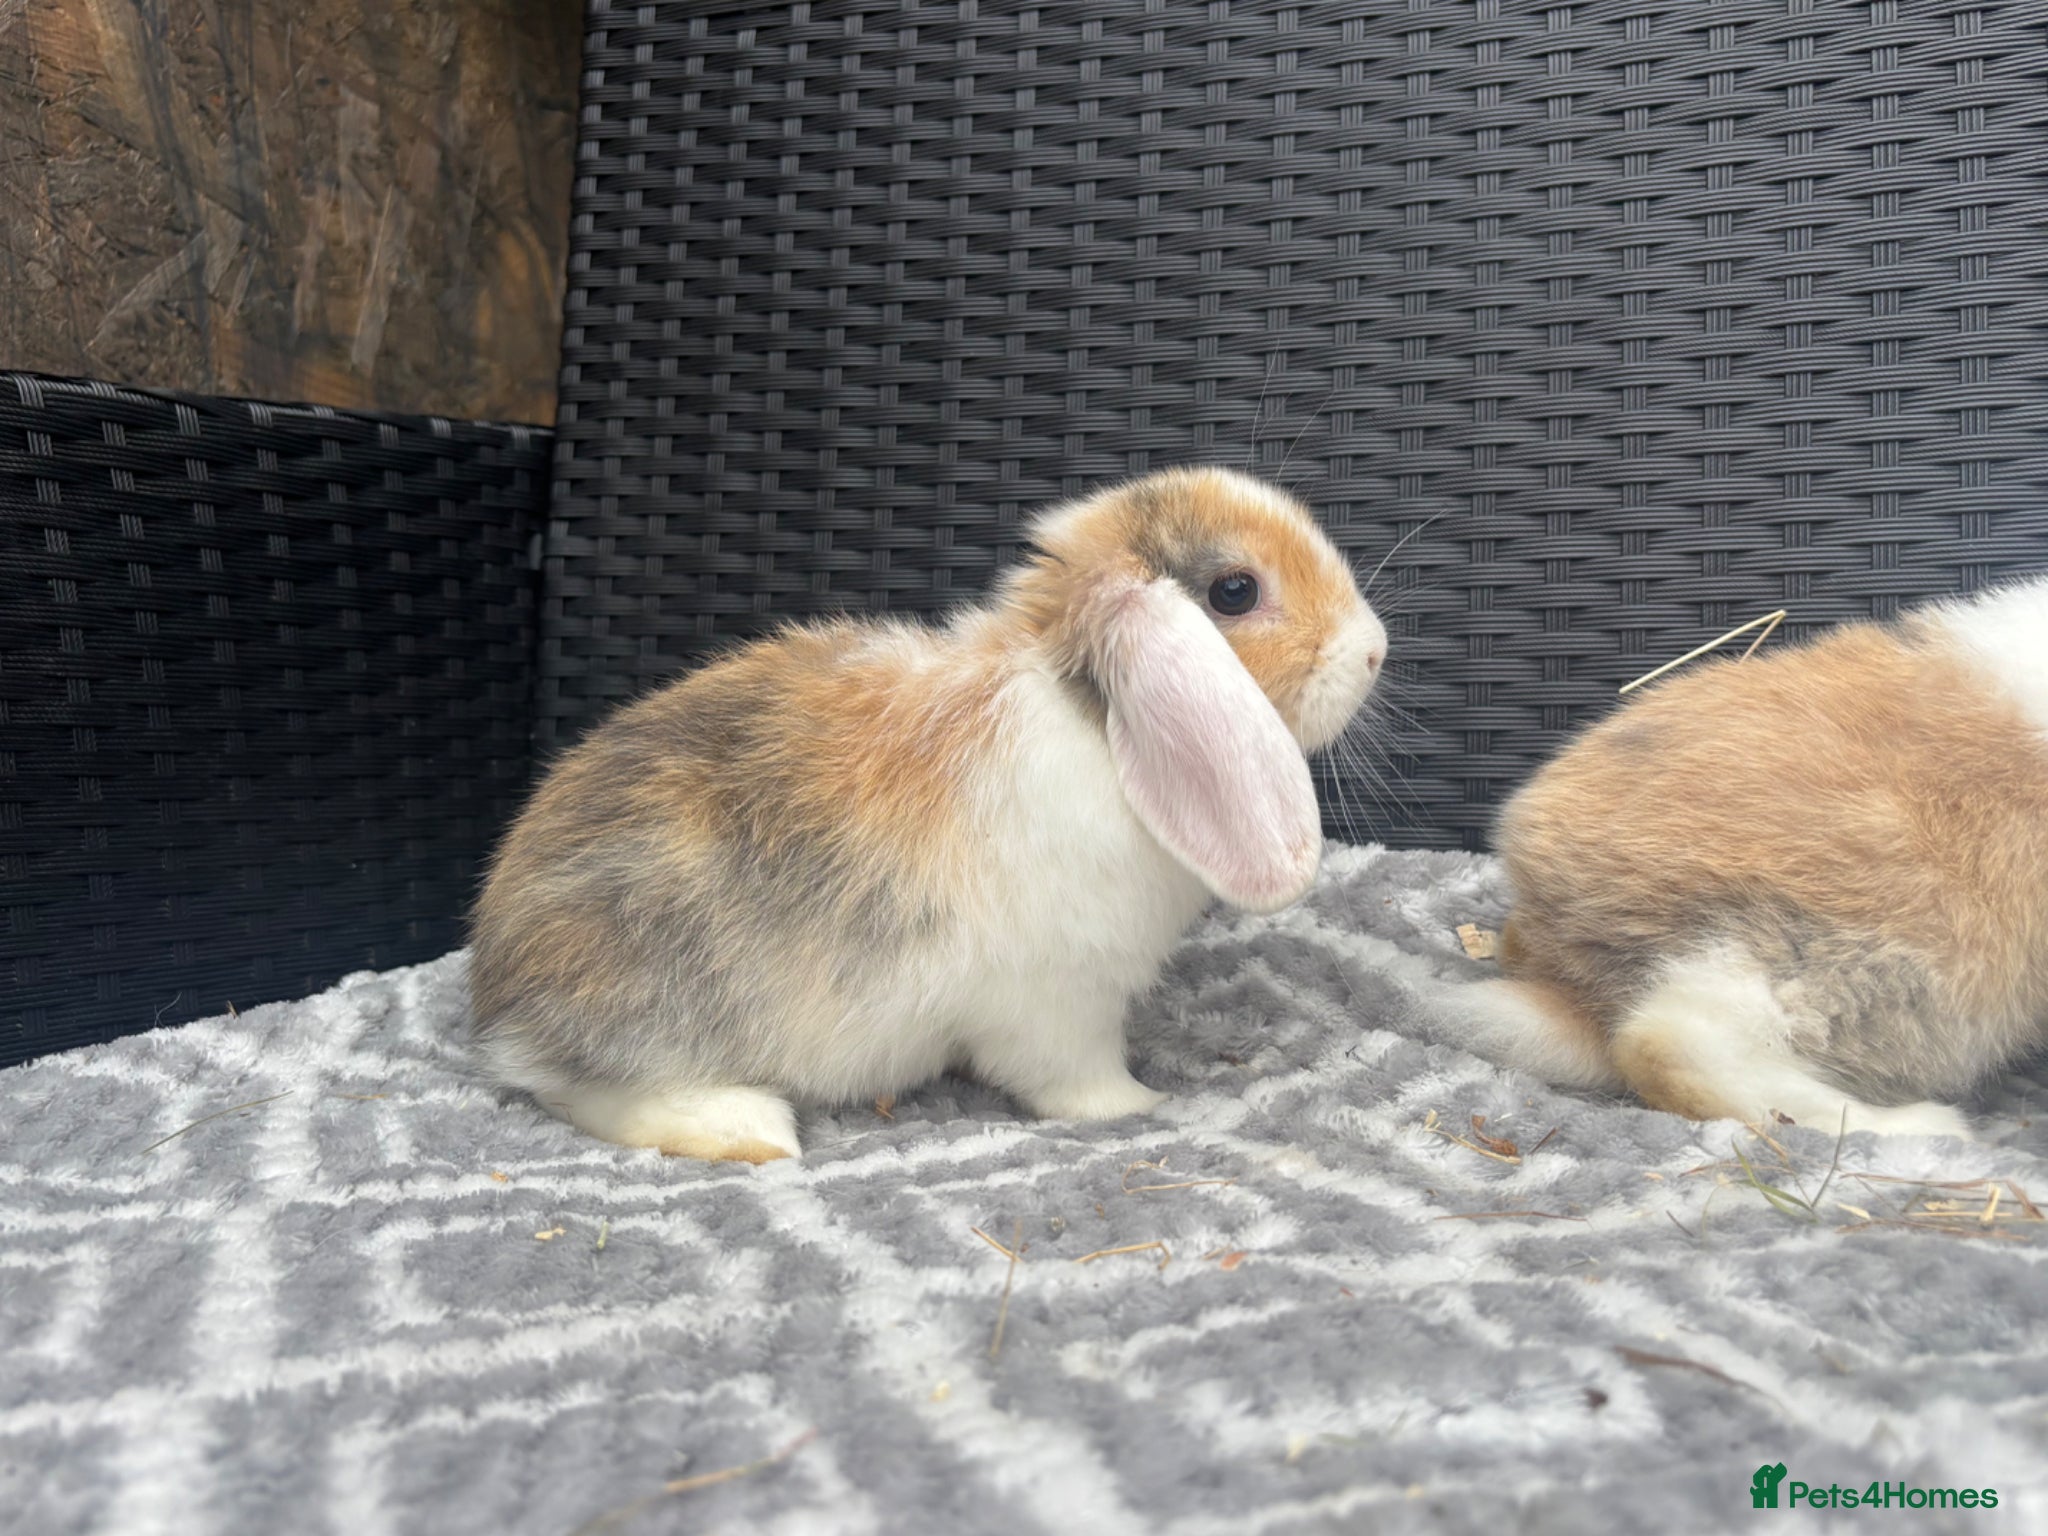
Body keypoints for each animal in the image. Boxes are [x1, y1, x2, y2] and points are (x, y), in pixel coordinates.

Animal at [468, 467, 1388, 1162]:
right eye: (1235, 591)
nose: (1375, 649)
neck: (1091, 714)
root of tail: (497, 994)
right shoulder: (1059, 1001)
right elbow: (1075, 1078)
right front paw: (1138, 1103)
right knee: (585, 1091)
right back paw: (747, 1128)